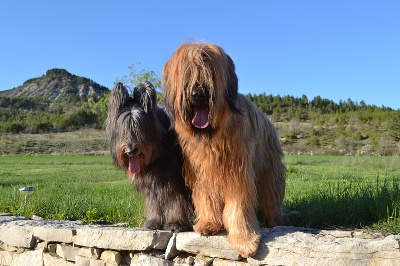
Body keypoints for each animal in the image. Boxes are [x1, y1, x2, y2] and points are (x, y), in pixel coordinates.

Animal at [106, 82, 194, 232]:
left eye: (139, 127)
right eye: (123, 129)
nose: (131, 150)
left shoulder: (175, 179)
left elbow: (175, 200)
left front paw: (175, 223)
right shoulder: (150, 182)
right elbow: (153, 201)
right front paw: (154, 221)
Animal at [161, 42, 286, 258]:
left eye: (209, 71)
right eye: (187, 73)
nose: (198, 94)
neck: (211, 135)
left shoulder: (237, 172)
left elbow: (238, 207)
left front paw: (245, 241)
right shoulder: (201, 172)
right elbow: (206, 197)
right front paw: (209, 224)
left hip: (269, 170)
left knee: (272, 197)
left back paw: (275, 221)